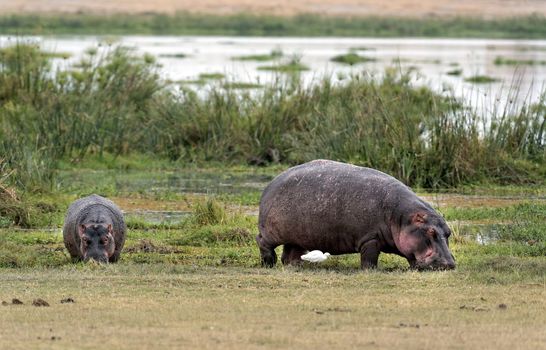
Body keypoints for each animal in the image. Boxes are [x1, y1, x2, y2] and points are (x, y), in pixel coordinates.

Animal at [255, 160, 454, 270]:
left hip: (298, 236)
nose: (450, 264)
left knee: (290, 253)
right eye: (430, 232)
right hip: (272, 232)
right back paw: (269, 263)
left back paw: (295, 265)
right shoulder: (370, 238)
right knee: (262, 242)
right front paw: (370, 271)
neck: (400, 217)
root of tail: (271, 183)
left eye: (448, 232)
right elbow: (369, 258)